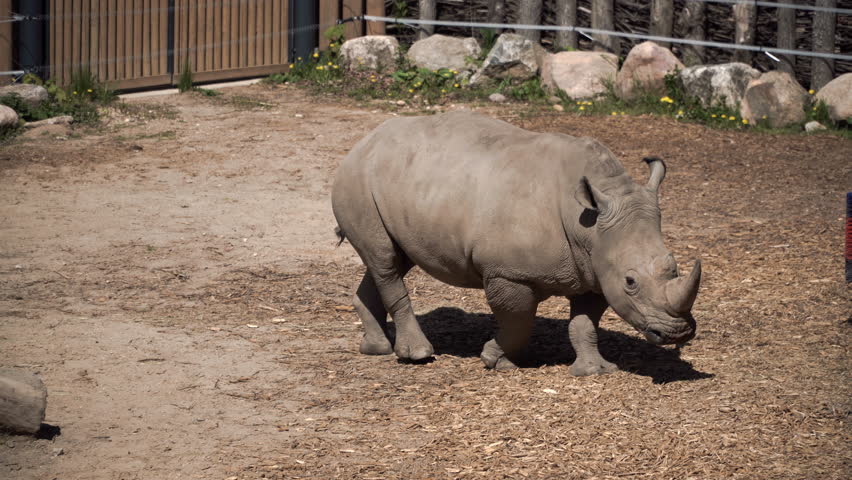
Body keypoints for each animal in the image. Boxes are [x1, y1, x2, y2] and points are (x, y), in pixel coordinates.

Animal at [331, 111, 700, 375]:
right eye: (631, 281)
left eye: (673, 266)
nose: (678, 334)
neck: (588, 226)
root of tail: (363, 142)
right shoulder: (508, 272)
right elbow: (519, 321)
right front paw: (495, 360)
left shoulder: (595, 267)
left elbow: (585, 322)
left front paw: (594, 370)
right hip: (357, 180)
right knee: (386, 262)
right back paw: (419, 356)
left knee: (390, 259)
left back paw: (375, 348)